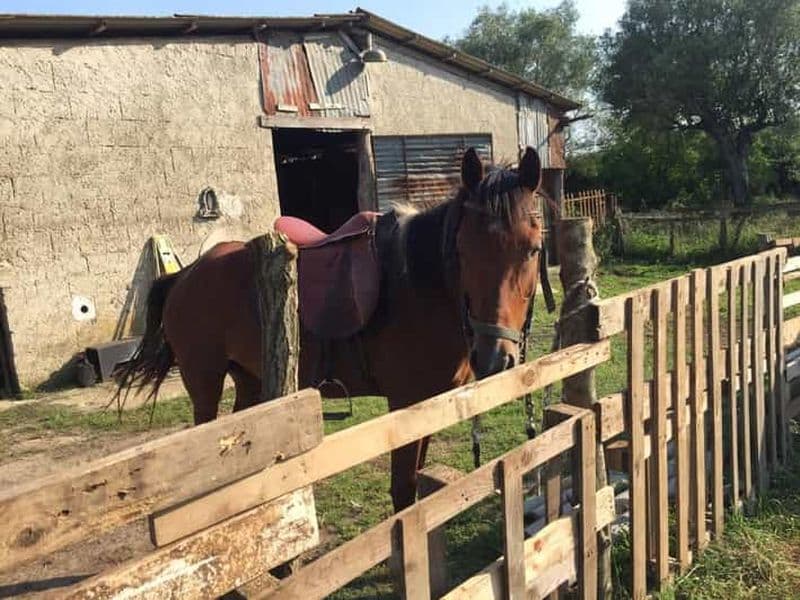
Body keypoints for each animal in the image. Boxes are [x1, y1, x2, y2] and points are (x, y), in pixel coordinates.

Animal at [116, 146, 548, 513]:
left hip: (249, 381)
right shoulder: (405, 406)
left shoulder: (429, 406)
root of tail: (186, 274)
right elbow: (403, 492)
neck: (416, 285)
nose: (494, 357)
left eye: (533, 249)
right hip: (204, 383)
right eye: (462, 251)